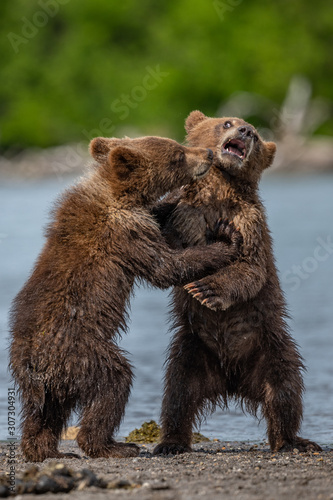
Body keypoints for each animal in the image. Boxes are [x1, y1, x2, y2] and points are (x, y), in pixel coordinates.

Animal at [8, 135, 241, 462]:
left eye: (177, 146)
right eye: (177, 156)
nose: (207, 153)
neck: (117, 196)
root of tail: (32, 363)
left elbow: (159, 219)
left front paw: (172, 200)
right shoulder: (125, 233)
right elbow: (166, 266)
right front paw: (225, 241)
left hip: (51, 381)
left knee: (45, 412)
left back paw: (46, 449)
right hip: (82, 352)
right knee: (113, 383)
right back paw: (111, 445)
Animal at [152, 111, 320, 456]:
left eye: (254, 133)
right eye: (227, 122)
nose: (244, 131)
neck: (220, 191)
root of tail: (230, 380)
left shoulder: (248, 222)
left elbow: (250, 269)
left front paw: (206, 288)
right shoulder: (187, 216)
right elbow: (171, 253)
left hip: (270, 345)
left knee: (284, 388)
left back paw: (291, 440)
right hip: (191, 348)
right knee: (178, 393)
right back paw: (171, 442)